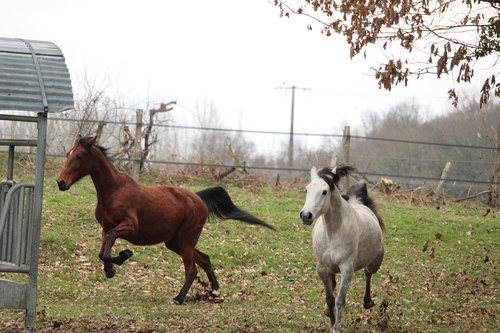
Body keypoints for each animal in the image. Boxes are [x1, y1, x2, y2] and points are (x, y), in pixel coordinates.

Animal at [57, 136, 276, 304]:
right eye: (68, 154)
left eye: (79, 156)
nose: (61, 183)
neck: (114, 191)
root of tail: (198, 199)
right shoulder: (105, 227)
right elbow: (102, 252)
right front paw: (115, 263)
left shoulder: (130, 226)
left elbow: (108, 246)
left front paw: (118, 261)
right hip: (175, 242)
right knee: (204, 259)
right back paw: (214, 292)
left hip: (186, 240)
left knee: (192, 269)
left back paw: (179, 298)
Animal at [298, 165, 384, 330]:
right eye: (306, 190)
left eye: (325, 192)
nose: (306, 215)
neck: (333, 234)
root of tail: (358, 202)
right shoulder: (322, 268)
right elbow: (330, 299)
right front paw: (331, 322)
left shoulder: (347, 269)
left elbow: (339, 300)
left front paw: (336, 328)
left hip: (375, 262)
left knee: (368, 273)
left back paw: (368, 302)